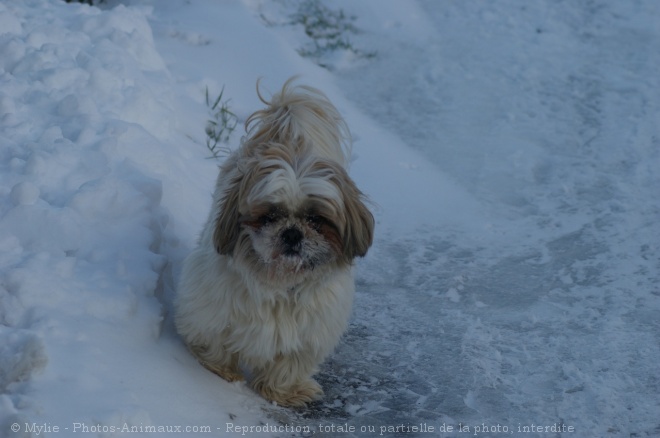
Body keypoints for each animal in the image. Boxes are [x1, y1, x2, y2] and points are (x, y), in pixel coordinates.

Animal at [174, 78, 372, 408]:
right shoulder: (211, 303)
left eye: (315, 219)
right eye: (269, 216)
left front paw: (284, 390)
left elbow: (290, 363)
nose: (292, 233)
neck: (281, 284)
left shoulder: (311, 330)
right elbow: (214, 338)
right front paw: (220, 368)